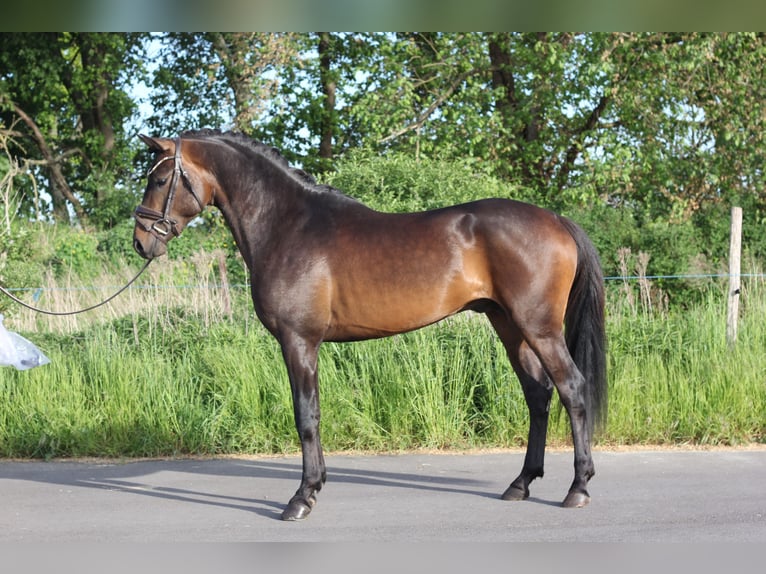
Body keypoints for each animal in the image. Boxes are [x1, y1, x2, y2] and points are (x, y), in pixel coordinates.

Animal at [135, 130, 608, 520]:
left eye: (159, 180)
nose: (142, 242)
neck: (288, 225)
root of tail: (557, 220)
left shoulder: (298, 341)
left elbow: (306, 415)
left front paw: (302, 497)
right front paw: (314, 487)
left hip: (539, 327)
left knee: (572, 389)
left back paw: (578, 488)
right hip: (509, 325)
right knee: (538, 395)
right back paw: (521, 484)